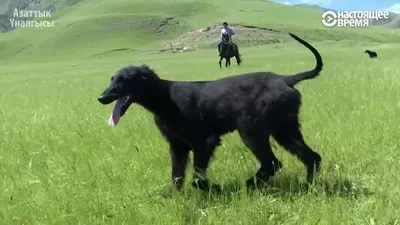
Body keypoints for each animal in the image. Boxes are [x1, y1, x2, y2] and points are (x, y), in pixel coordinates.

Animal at [98, 33, 324, 192]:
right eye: (112, 79)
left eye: (124, 80)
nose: (101, 98)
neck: (165, 98)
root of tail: (285, 79)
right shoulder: (177, 146)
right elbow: (177, 177)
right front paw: (174, 198)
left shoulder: (205, 141)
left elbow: (198, 177)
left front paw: (215, 188)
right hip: (284, 129)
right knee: (311, 157)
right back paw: (308, 187)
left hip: (251, 130)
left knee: (272, 163)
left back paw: (246, 185)